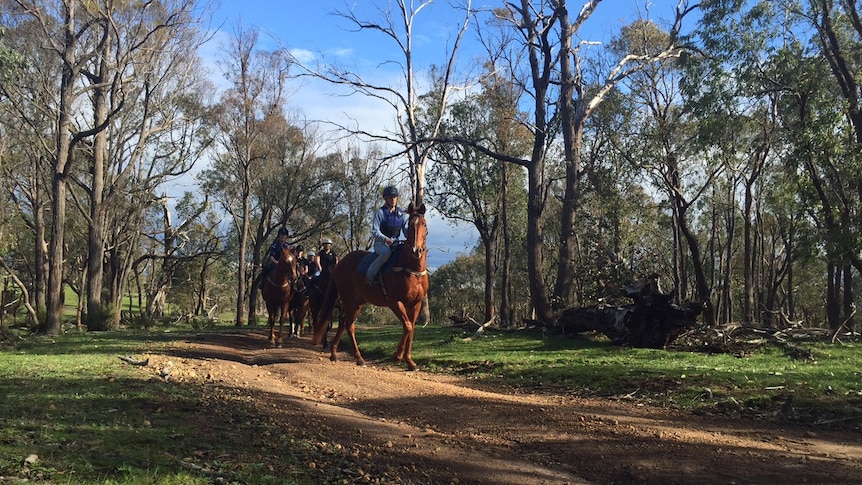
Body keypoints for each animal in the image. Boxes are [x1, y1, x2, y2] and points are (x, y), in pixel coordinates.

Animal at [312, 202, 430, 368]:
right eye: (411, 225)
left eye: (424, 224)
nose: (416, 250)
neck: (411, 269)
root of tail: (340, 264)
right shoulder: (395, 302)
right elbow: (407, 326)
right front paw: (397, 356)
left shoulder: (416, 303)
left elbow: (411, 328)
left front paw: (409, 361)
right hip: (349, 300)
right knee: (349, 324)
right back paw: (359, 358)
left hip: (358, 302)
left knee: (344, 322)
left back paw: (334, 354)